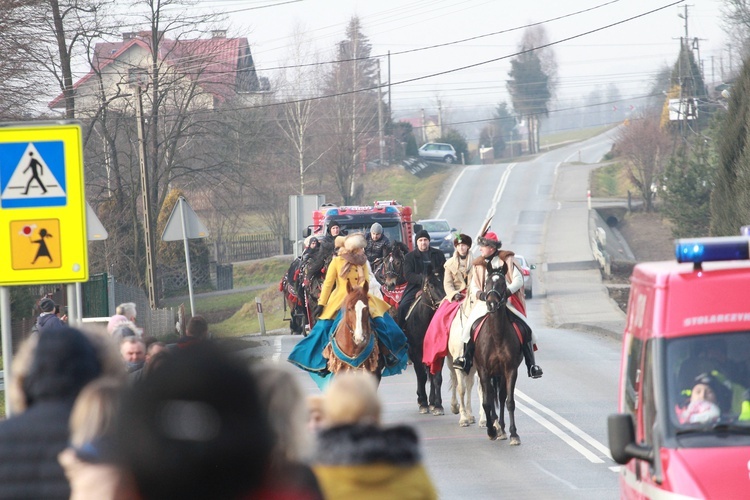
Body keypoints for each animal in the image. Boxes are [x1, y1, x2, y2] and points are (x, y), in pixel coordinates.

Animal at [406, 268, 446, 416]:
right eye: (431, 286)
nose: (443, 303)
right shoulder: (416, 352)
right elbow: (421, 376)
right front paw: (423, 402)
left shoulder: (438, 353)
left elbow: (437, 377)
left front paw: (438, 405)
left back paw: (432, 401)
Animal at [476, 260, 528, 444]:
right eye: (487, 283)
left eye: (502, 283)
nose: (491, 304)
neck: (497, 336)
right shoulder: (483, 370)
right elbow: (486, 402)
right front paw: (491, 430)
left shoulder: (510, 370)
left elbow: (509, 401)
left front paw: (513, 434)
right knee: (491, 396)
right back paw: (495, 426)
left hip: (501, 373)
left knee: (501, 396)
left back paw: (503, 428)